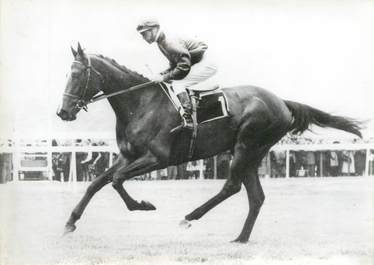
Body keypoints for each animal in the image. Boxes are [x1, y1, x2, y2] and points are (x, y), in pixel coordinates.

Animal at [56, 42, 362, 241]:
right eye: (66, 74)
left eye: (77, 75)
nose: (63, 112)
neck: (141, 103)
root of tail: (282, 102)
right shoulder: (128, 156)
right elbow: (97, 182)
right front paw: (70, 222)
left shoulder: (158, 158)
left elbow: (117, 181)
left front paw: (144, 205)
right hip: (253, 153)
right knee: (256, 197)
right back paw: (240, 238)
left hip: (246, 146)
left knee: (232, 187)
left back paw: (190, 217)